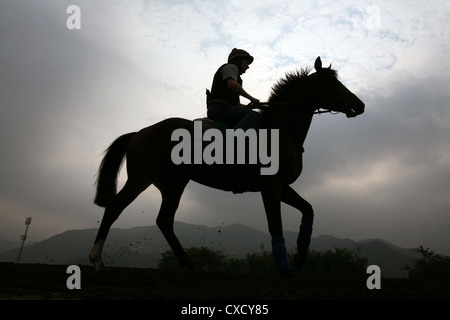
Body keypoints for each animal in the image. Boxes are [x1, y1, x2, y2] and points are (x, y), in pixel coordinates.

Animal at [89, 56, 364, 276]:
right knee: (115, 208)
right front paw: (284, 267)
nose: (359, 105)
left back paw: (189, 265)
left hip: (173, 185)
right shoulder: (270, 186)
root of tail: (140, 132)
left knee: (164, 220)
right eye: (331, 83)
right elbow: (275, 224)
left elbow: (308, 210)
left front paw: (301, 254)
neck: (280, 131)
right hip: (141, 178)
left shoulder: (282, 186)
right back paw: (97, 260)